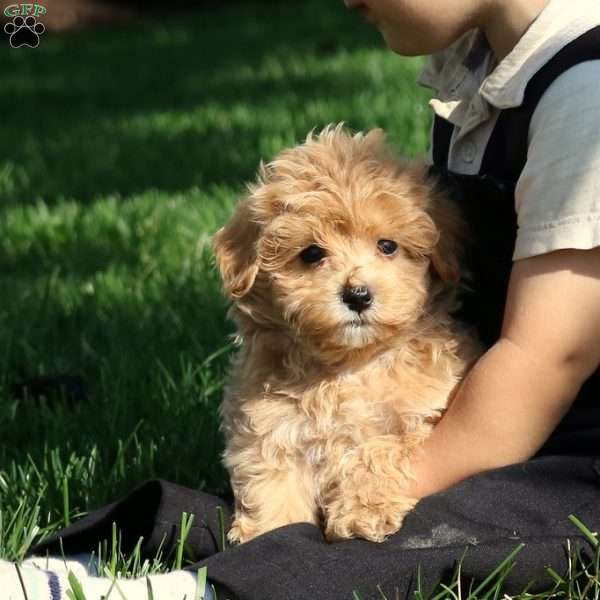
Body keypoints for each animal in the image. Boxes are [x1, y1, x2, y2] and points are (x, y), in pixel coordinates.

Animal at [213, 125, 480, 544]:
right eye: (311, 253)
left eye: (387, 245)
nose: (357, 295)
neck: (348, 367)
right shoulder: (269, 430)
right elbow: (270, 484)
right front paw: (270, 533)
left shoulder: (420, 416)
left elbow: (379, 450)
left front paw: (363, 514)